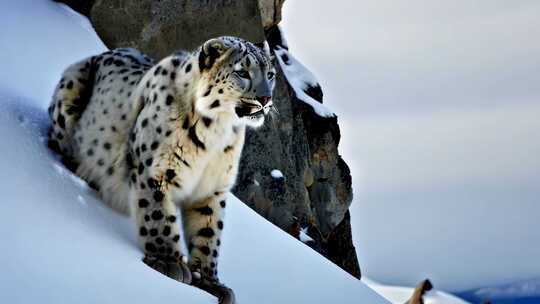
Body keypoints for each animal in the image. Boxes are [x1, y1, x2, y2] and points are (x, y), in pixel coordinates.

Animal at [47, 36, 274, 302]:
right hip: (70, 88)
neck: (218, 132)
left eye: (270, 74)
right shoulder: (155, 169)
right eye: (242, 72)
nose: (266, 99)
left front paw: (209, 280)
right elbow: (158, 216)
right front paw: (169, 262)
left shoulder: (213, 188)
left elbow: (209, 233)